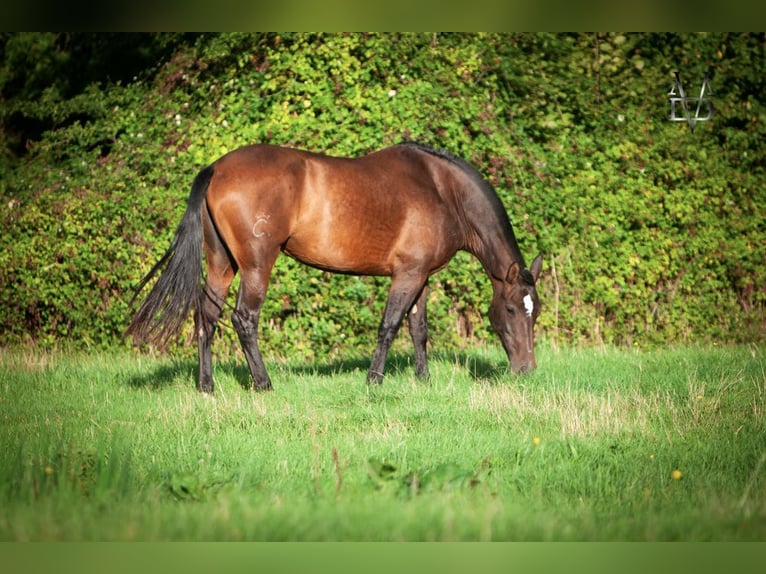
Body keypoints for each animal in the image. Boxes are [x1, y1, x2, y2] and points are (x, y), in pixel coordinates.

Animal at [126, 144, 544, 394]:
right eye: (510, 309)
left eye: (534, 312)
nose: (526, 370)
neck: (442, 189)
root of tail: (216, 168)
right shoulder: (406, 275)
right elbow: (389, 326)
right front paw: (374, 381)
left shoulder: (421, 276)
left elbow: (418, 329)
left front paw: (423, 379)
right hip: (257, 265)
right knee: (244, 320)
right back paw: (264, 384)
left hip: (221, 264)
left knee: (206, 318)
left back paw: (206, 386)